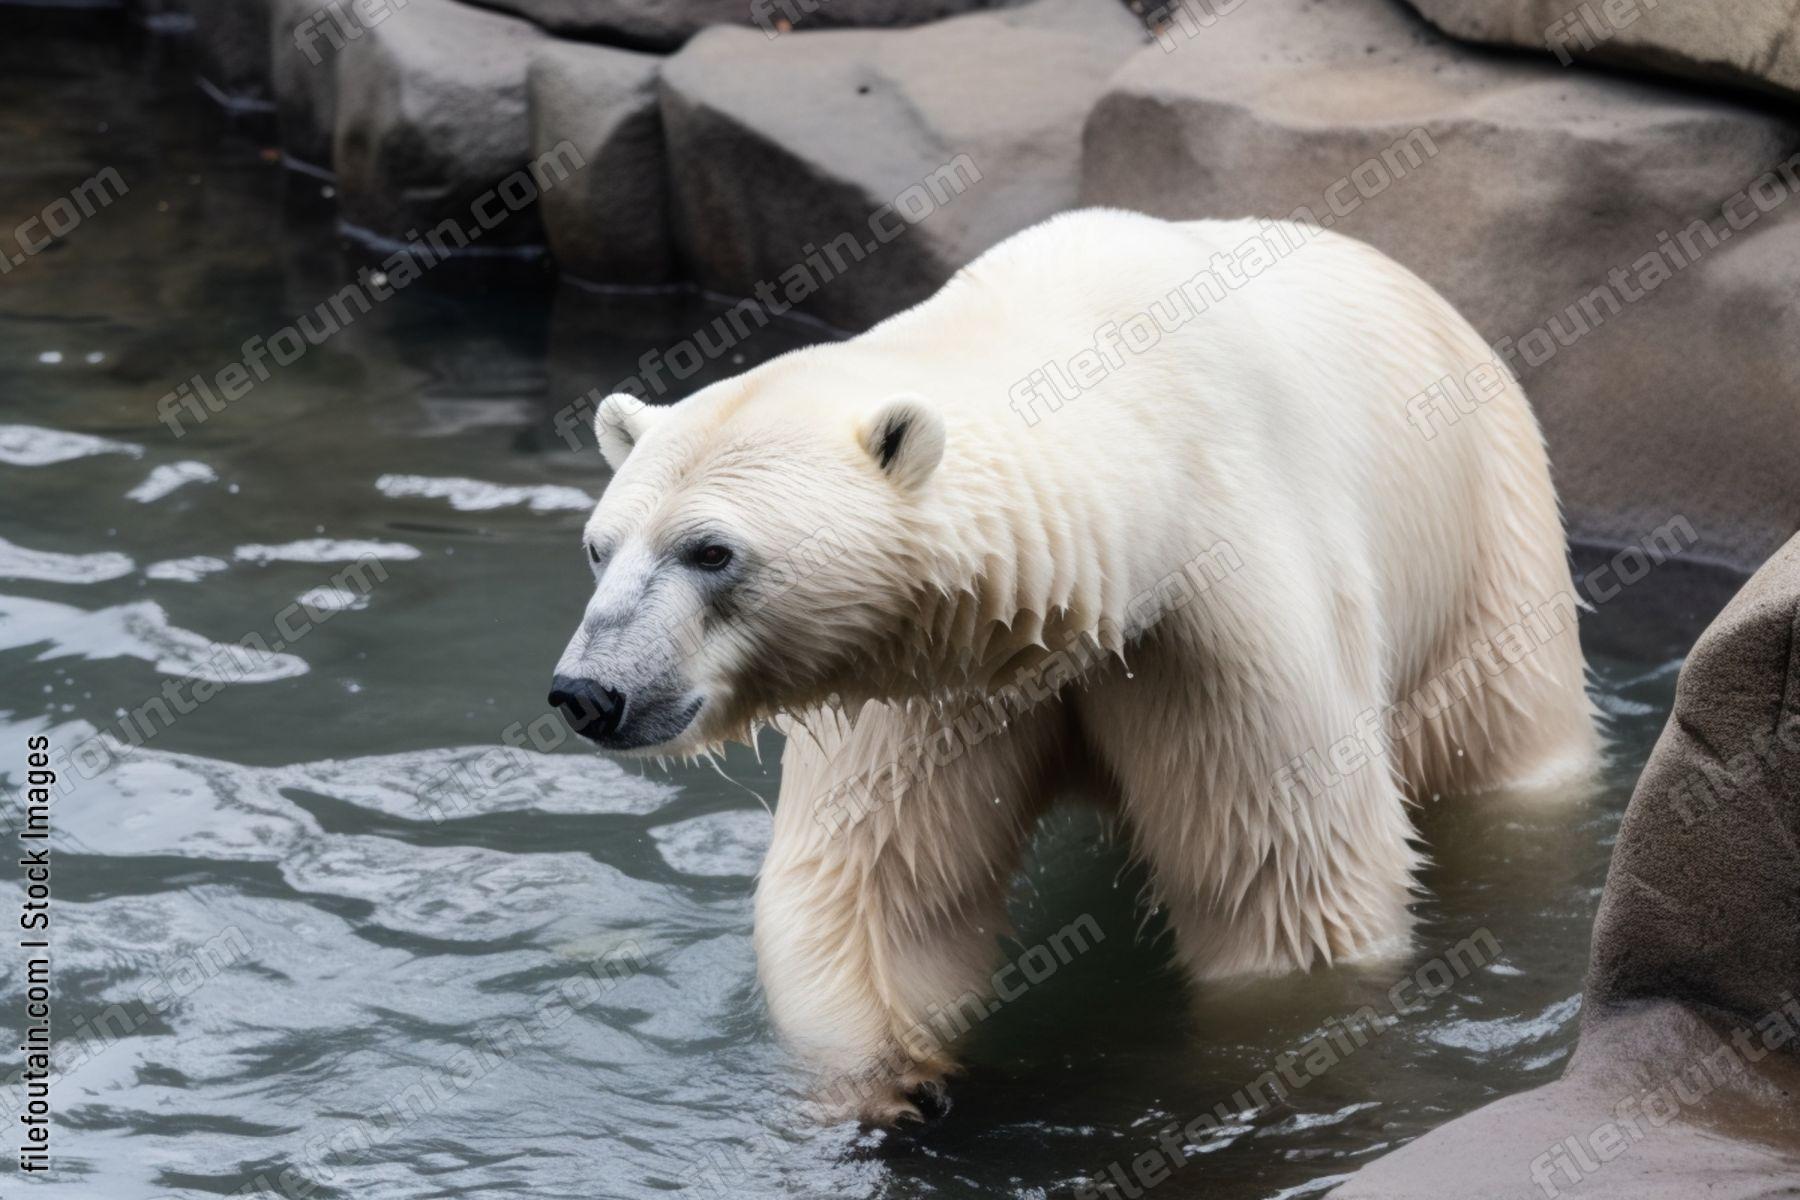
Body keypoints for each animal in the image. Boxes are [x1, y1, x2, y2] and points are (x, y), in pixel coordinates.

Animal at [550, 208, 1600, 1124]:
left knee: (1503, 737)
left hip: (1489, 536)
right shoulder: (940, 663)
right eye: (600, 547)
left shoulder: (1215, 612)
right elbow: (878, 886)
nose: (588, 693)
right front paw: (897, 1088)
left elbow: (1282, 882)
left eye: (710, 551)